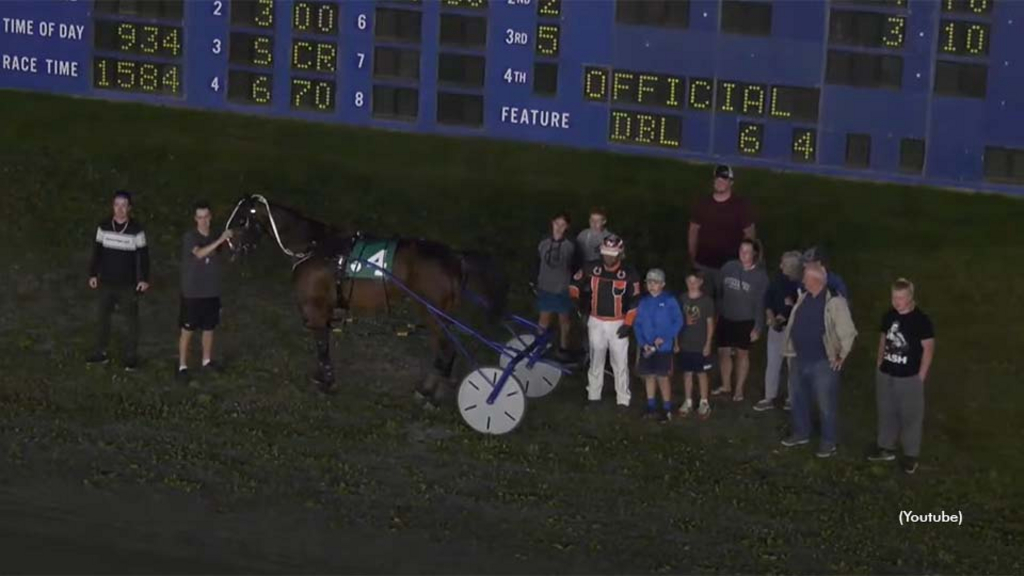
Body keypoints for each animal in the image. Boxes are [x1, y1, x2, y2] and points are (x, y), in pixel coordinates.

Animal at [225, 192, 512, 403]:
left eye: (240, 221)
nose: (229, 247)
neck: (315, 246)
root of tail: (455, 256)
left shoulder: (315, 307)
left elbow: (321, 345)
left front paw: (326, 382)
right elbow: (323, 343)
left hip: (432, 314)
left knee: (445, 350)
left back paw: (427, 393)